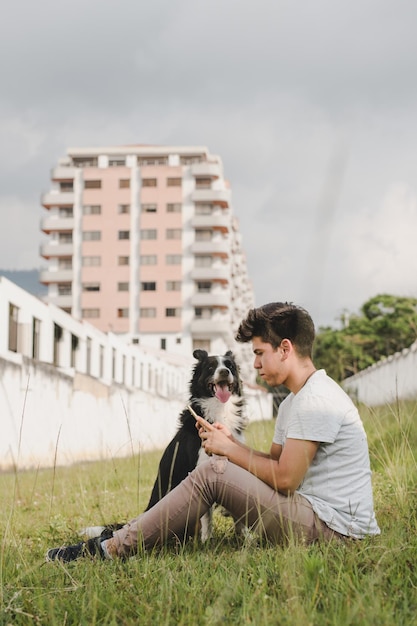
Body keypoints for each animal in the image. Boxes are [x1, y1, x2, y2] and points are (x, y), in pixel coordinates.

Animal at [82, 346, 247, 540]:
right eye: (211, 367)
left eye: (230, 366)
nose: (224, 371)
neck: (220, 409)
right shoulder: (202, 470)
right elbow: (207, 519)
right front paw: (207, 541)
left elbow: (239, 516)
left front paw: (245, 539)